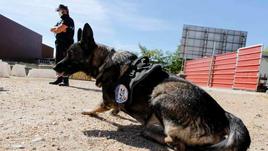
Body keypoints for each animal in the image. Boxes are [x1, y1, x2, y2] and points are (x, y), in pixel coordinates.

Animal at [54, 23, 251, 150]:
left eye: (70, 54)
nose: (55, 67)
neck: (105, 60)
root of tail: (224, 115)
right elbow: (115, 109)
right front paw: (117, 113)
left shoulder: (107, 99)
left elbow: (98, 106)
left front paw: (88, 111)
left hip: (160, 93)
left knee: (177, 143)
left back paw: (149, 131)